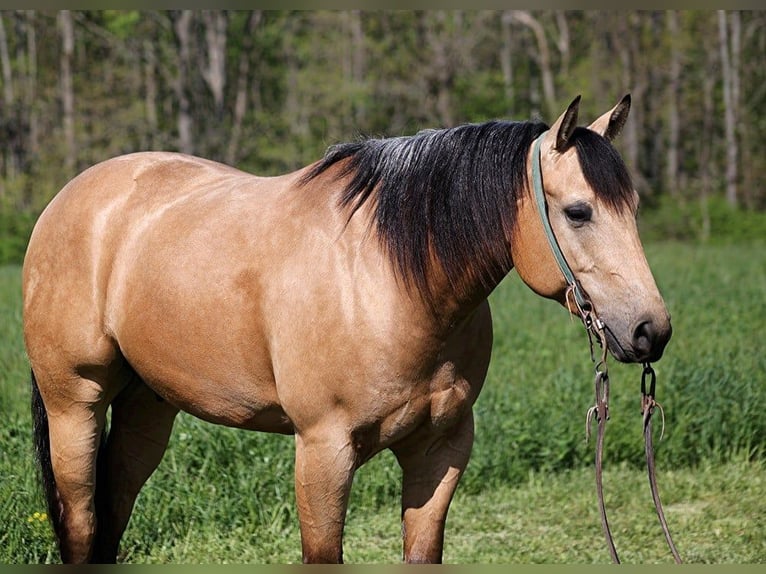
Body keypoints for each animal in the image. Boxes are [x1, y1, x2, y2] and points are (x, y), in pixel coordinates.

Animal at [23, 95, 671, 563]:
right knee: (81, 521)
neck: (390, 282)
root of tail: (68, 198)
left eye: (635, 208)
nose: (651, 331)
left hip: (149, 402)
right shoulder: (323, 451)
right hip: (74, 403)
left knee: (115, 502)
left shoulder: (441, 449)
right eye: (578, 212)